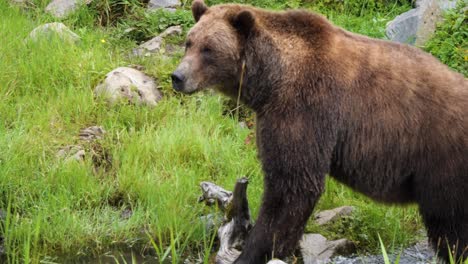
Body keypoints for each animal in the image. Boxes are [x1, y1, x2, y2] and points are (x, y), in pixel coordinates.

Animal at [172, 1, 468, 262]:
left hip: (442, 158)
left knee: (450, 222)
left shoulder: (305, 108)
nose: (178, 77)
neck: (270, 80)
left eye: (208, 49)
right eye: (189, 42)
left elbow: (291, 186)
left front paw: (252, 252)